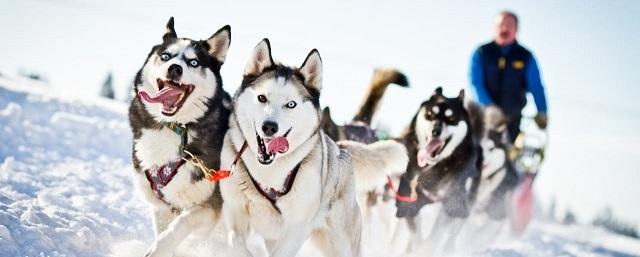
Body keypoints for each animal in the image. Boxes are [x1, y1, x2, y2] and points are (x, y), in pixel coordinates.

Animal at [127, 17, 230, 255]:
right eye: (166, 56)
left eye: (194, 62)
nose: (174, 68)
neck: (174, 127)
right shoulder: (161, 206)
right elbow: (163, 230)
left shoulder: (209, 206)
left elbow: (179, 226)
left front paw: (157, 250)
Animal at [220, 38, 408, 256]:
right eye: (262, 98)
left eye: (291, 104)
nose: (269, 127)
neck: (269, 172)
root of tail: (340, 148)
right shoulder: (235, 214)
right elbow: (235, 243)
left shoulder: (296, 228)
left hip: (341, 242)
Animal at [392, 87, 482, 253]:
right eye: (430, 114)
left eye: (451, 117)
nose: (435, 131)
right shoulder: (408, 202)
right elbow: (416, 234)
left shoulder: (452, 203)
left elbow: (435, 237)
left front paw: (427, 249)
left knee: (451, 236)